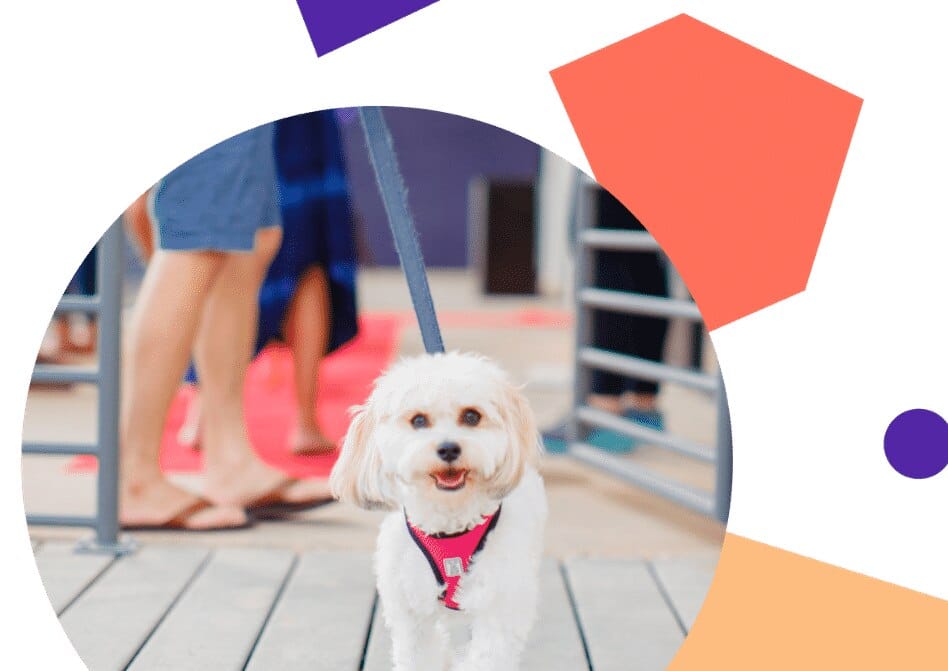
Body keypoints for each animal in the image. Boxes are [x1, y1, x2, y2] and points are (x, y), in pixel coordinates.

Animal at [330, 352, 548, 671]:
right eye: (418, 420)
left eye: (471, 416)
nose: (448, 449)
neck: (450, 524)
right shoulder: (411, 615)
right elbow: (419, 655)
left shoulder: (499, 607)